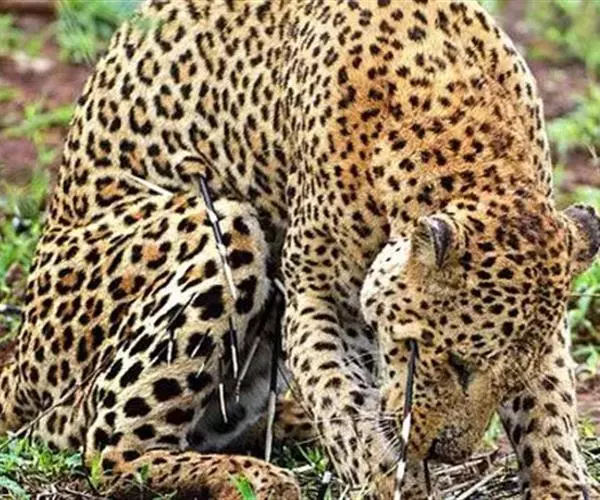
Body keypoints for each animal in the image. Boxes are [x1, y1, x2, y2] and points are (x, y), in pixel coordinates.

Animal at [0, 0, 599, 498]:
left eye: (507, 378)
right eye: (454, 362)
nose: (447, 453)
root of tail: (19, 359)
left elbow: (550, 411)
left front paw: (562, 484)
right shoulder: (317, 295)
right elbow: (339, 397)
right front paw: (390, 479)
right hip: (224, 223)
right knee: (107, 445)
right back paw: (258, 479)